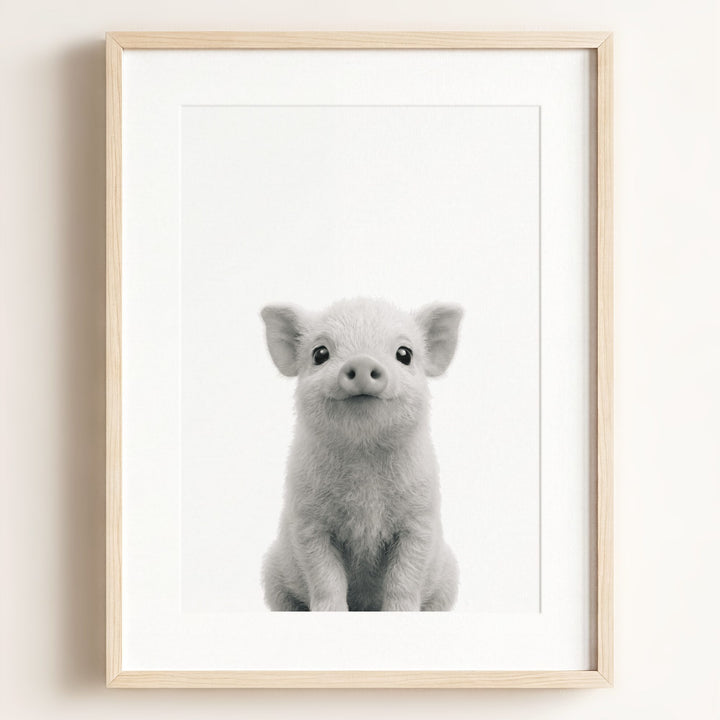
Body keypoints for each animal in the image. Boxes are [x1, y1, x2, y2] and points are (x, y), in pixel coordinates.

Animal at [260, 297, 462, 611]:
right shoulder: (308, 521)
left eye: (404, 354)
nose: (363, 360)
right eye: (320, 353)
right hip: (273, 576)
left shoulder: (419, 519)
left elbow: (405, 578)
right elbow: (325, 578)